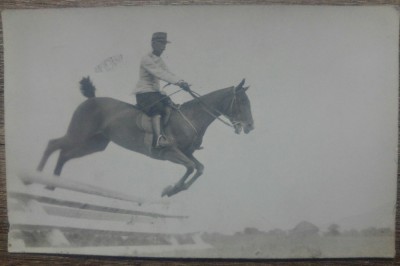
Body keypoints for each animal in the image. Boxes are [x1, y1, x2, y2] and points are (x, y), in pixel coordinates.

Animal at [38, 77, 256, 197]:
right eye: (242, 101)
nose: (250, 126)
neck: (191, 117)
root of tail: (91, 100)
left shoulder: (186, 152)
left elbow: (199, 168)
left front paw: (175, 190)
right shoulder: (170, 152)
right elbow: (190, 167)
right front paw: (171, 189)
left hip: (94, 144)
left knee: (64, 154)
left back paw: (51, 185)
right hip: (78, 134)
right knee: (53, 145)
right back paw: (36, 176)